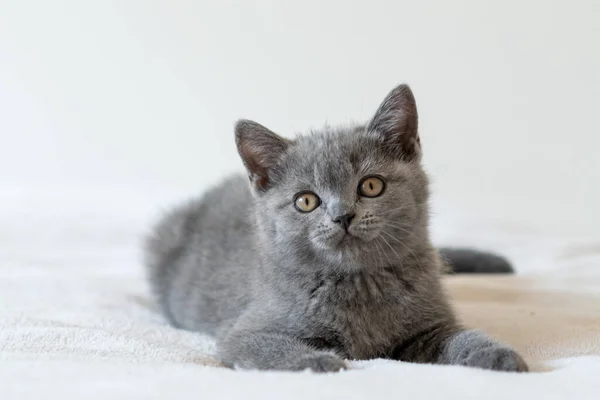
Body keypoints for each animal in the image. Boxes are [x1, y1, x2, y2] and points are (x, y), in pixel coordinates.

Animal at [148, 83, 528, 372]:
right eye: (306, 201)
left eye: (371, 186)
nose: (342, 216)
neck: (360, 282)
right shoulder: (243, 332)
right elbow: (268, 347)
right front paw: (319, 363)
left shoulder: (429, 327)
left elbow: (460, 336)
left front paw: (497, 354)